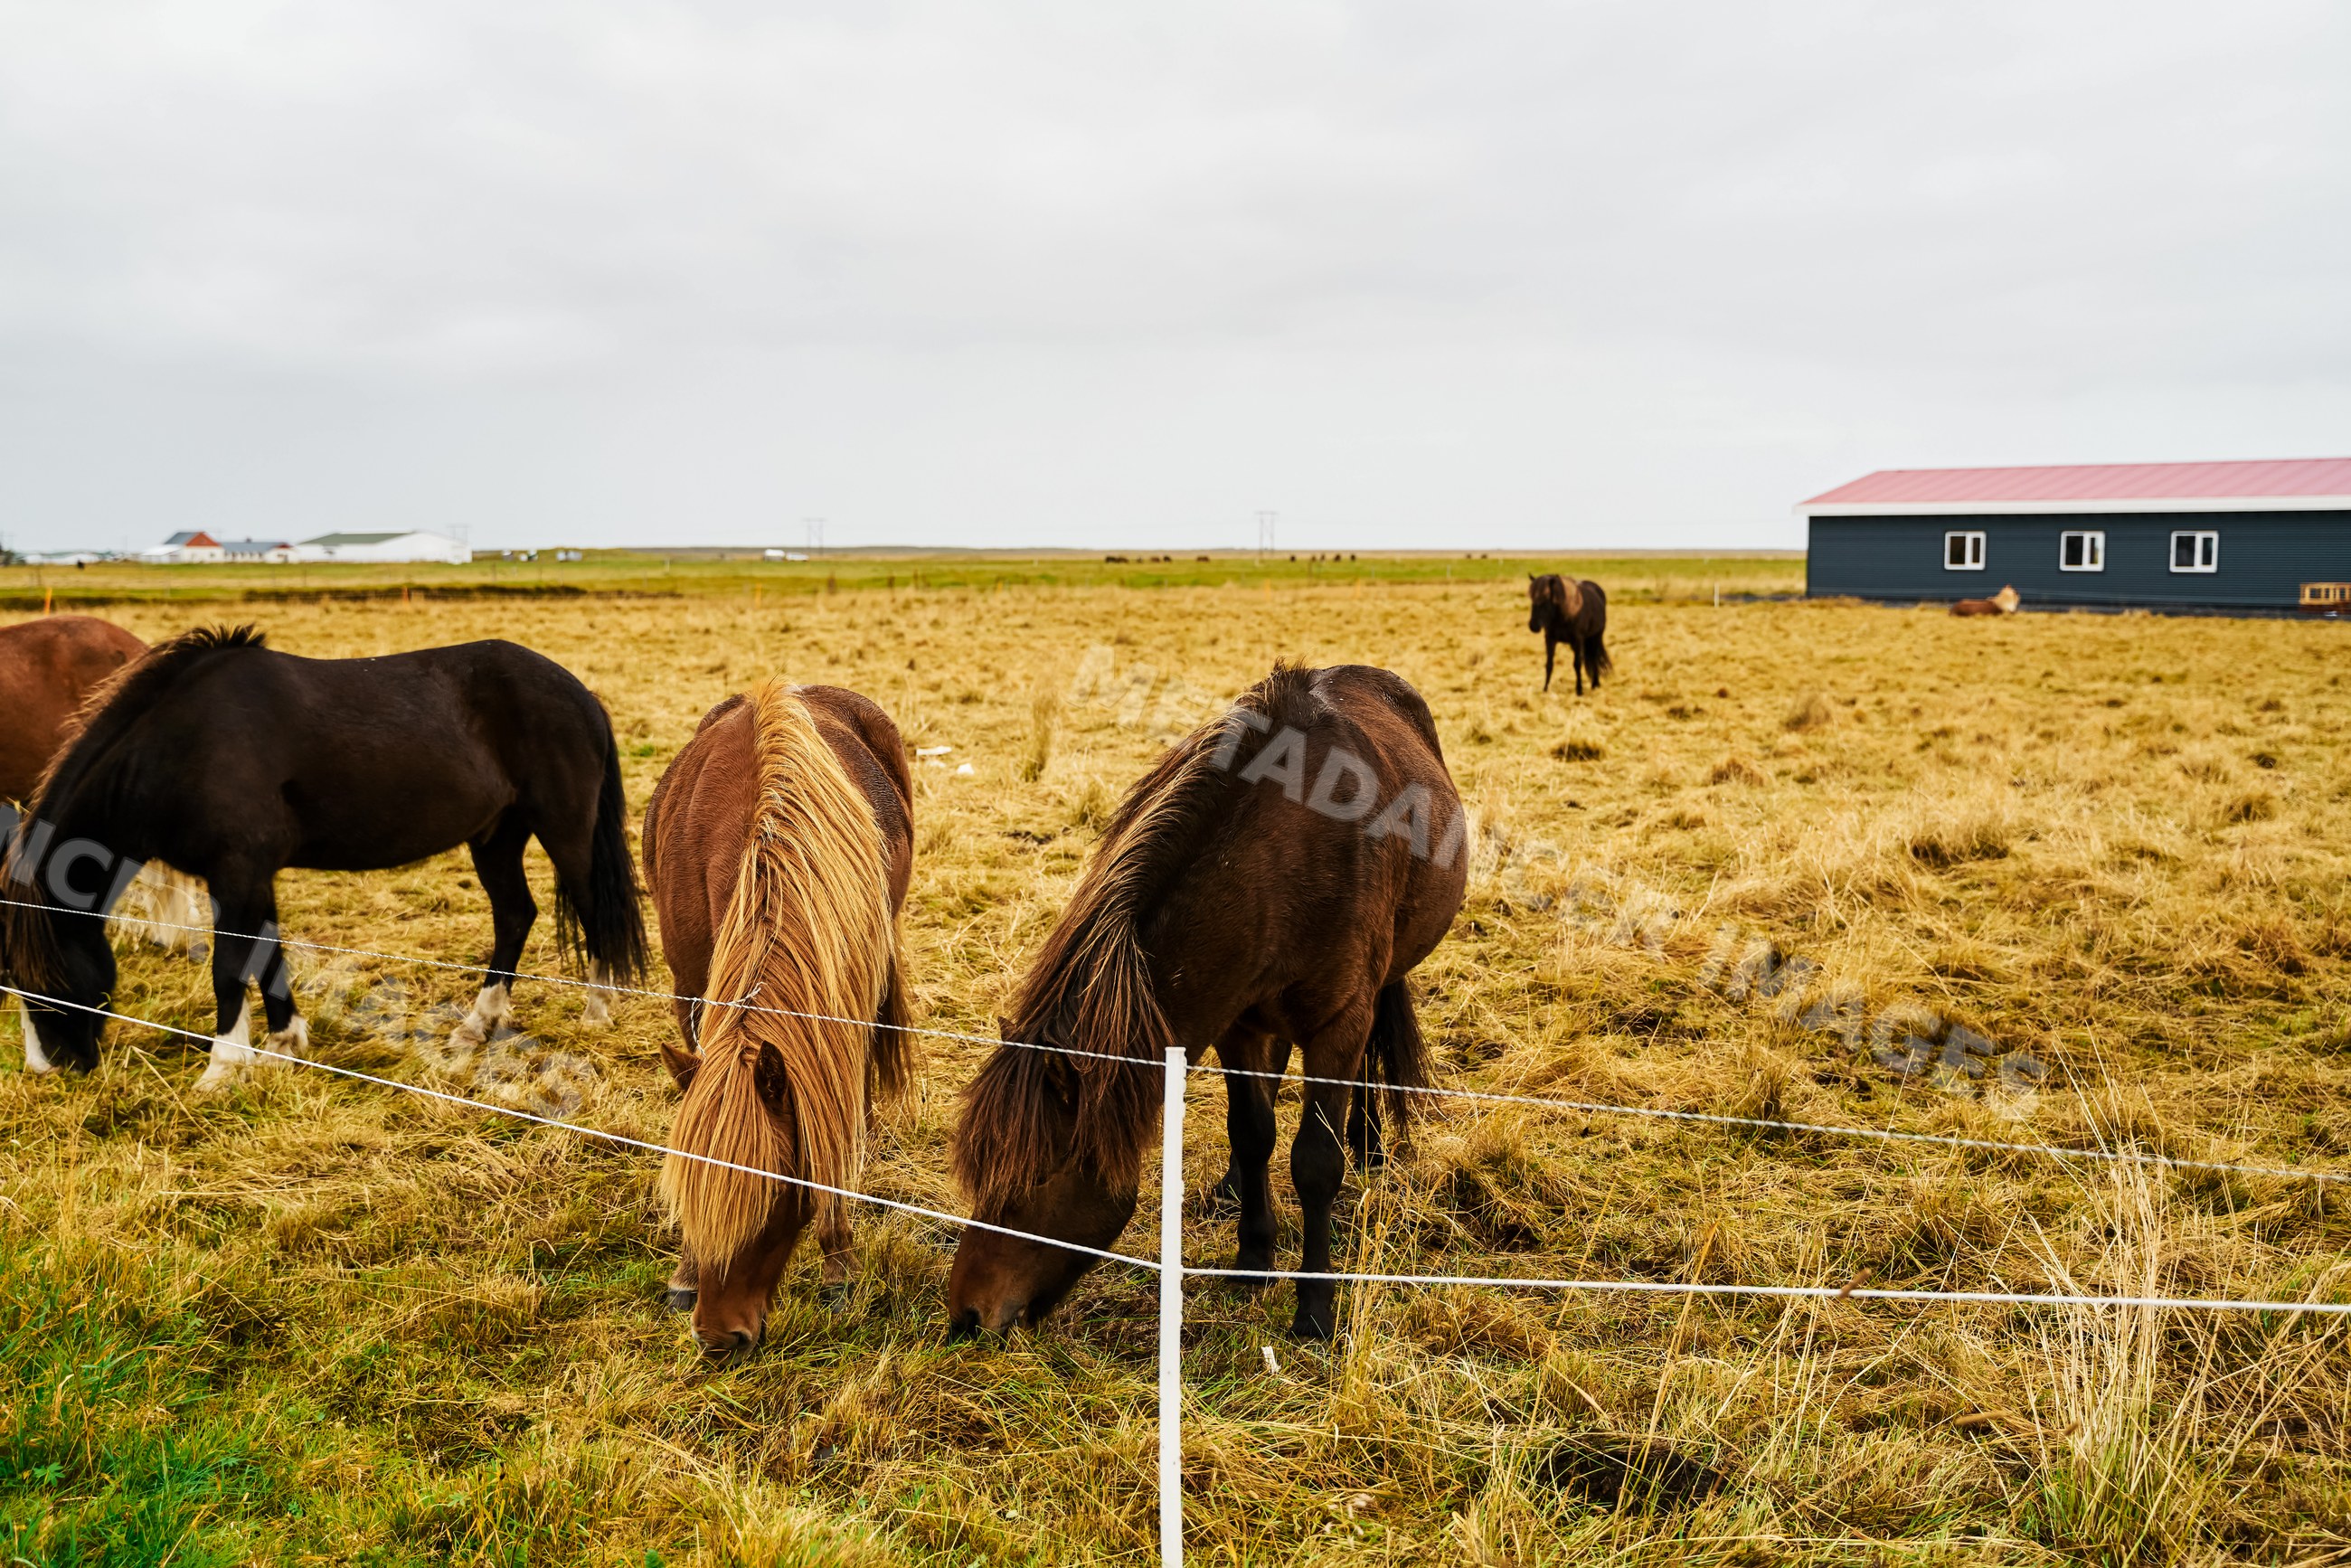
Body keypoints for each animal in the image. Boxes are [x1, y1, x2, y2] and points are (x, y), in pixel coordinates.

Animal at [1, 626, 646, 1088]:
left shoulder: (235, 874)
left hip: (563, 830)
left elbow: (229, 967)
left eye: (45, 979)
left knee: (593, 910)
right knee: (515, 916)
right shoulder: (253, 877)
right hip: (496, 835)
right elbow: (268, 956)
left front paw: (223, 1068)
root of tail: (580, 694)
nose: (48, 1069)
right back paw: (475, 1027)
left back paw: (598, 1010)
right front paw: (284, 1045)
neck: (185, 744)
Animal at [947, 662, 1467, 1340]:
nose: (965, 1315)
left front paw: (1314, 1308)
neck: (1287, 856)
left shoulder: (1336, 1025)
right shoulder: (1237, 1023)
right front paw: (1252, 1258)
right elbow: (1252, 1131)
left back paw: (1371, 1144)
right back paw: (1234, 1187)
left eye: (1036, 1176)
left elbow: (1316, 1161)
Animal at [1528, 574, 1611, 695]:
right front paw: (1545, 689)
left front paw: (1579, 690)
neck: (1563, 616)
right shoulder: (1550, 639)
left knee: (1595, 658)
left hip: (1596, 637)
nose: (1533, 626)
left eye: (1546, 598)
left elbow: (1577, 664)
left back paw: (1595, 684)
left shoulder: (1578, 641)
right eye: (1532, 598)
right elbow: (1549, 664)